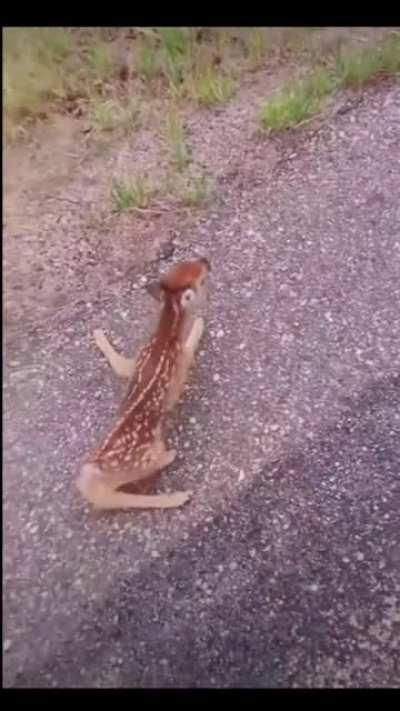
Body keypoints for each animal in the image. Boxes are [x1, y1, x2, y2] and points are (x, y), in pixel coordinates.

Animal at [77, 257, 210, 511]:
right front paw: (200, 321)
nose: (205, 260)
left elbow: (120, 364)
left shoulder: (136, 359)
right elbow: (190, 345)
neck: (164, 335)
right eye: (198, 276)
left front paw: (98, 334)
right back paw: (177, 489)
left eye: (184, 264)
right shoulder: (181, 363)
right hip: (145, 458)